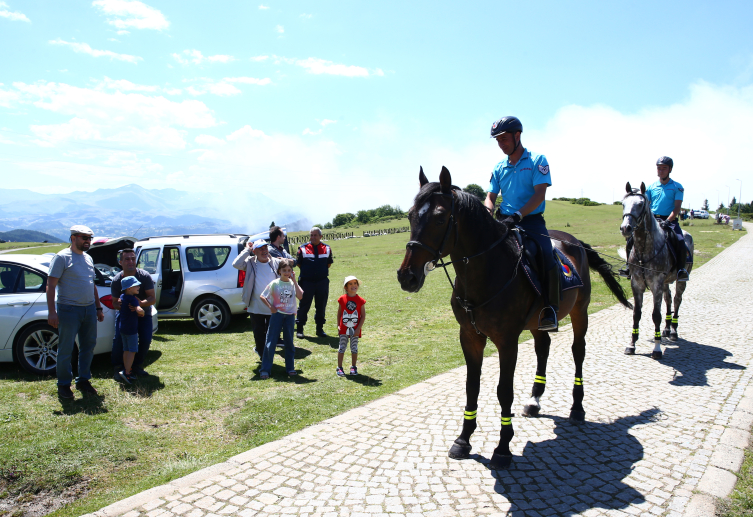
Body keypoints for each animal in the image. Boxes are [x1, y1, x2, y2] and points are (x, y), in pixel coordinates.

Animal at [396, 166, 632, 468]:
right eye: (410, 215)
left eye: (439, 217)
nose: (407, 277)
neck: (486, 270)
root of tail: (574, 242)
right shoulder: (469, 336)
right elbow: (472, 386)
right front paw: (463, 439)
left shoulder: (506, 341)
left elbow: (503, 390)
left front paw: (503, 448)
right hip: (539, 322)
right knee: (543, 348)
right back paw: (535, 400)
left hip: (580, 312)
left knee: (578, 352)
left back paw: (577, 407)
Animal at [616, 182, 692, 358]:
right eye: (623, 204)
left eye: (640, 204)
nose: (625, 228)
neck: (644, 250)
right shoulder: (637, 284)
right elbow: (636, 313)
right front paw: (632, 344)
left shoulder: (656, 284)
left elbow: (656, 315)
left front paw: (657, 349)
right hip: (665, 283)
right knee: (668, 299)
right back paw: (666, 329)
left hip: (680, 281)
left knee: (677, 300)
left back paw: (673, 331)